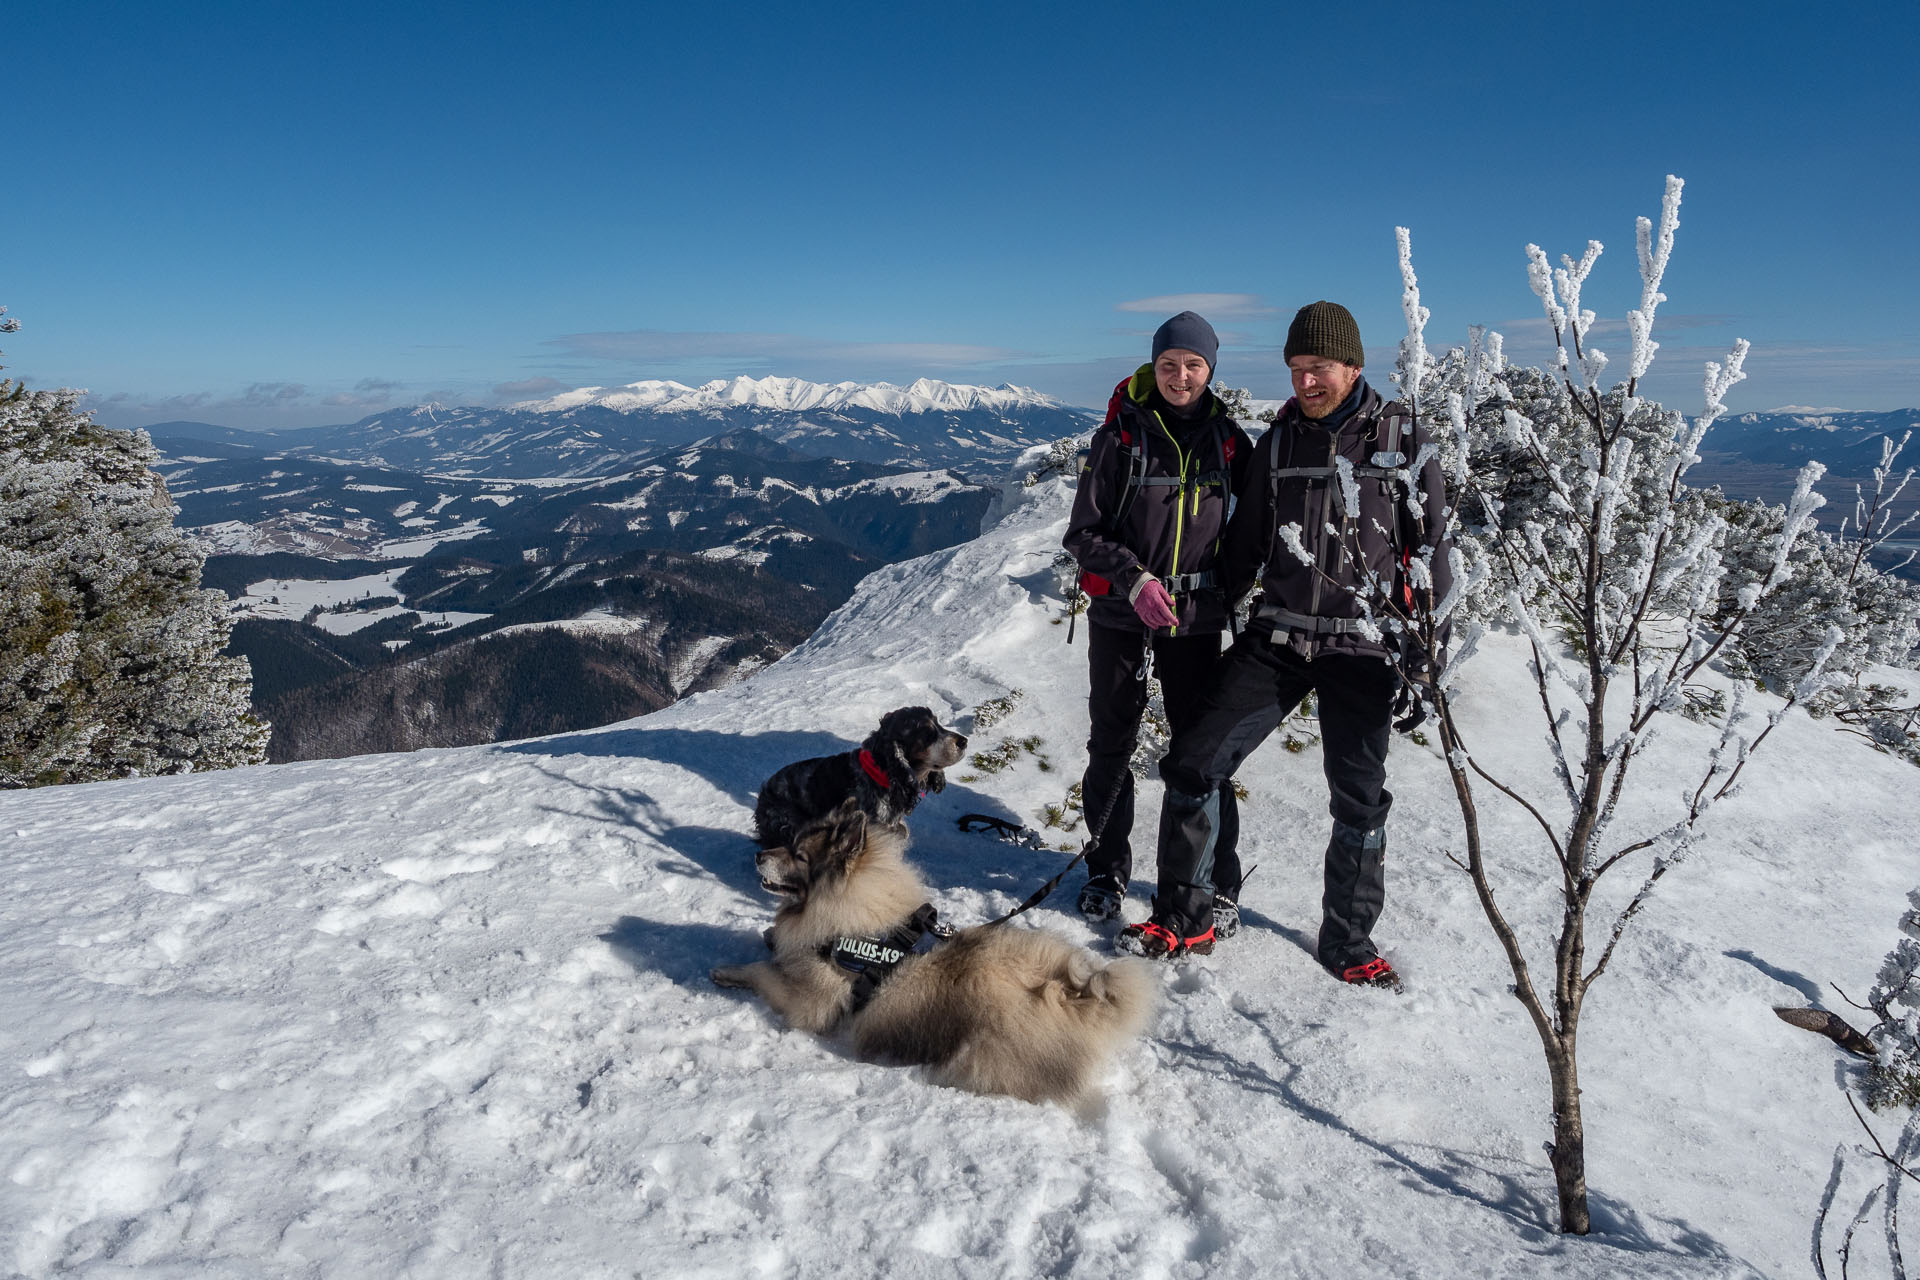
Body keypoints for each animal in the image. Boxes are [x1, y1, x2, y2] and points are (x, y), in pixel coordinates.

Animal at [752, 710, 967, 852]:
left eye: (938, 723)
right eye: (926, 732)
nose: (964, 741)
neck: (882, 775)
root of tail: (763, 794)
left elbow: (902, 831)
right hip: (786, 822)